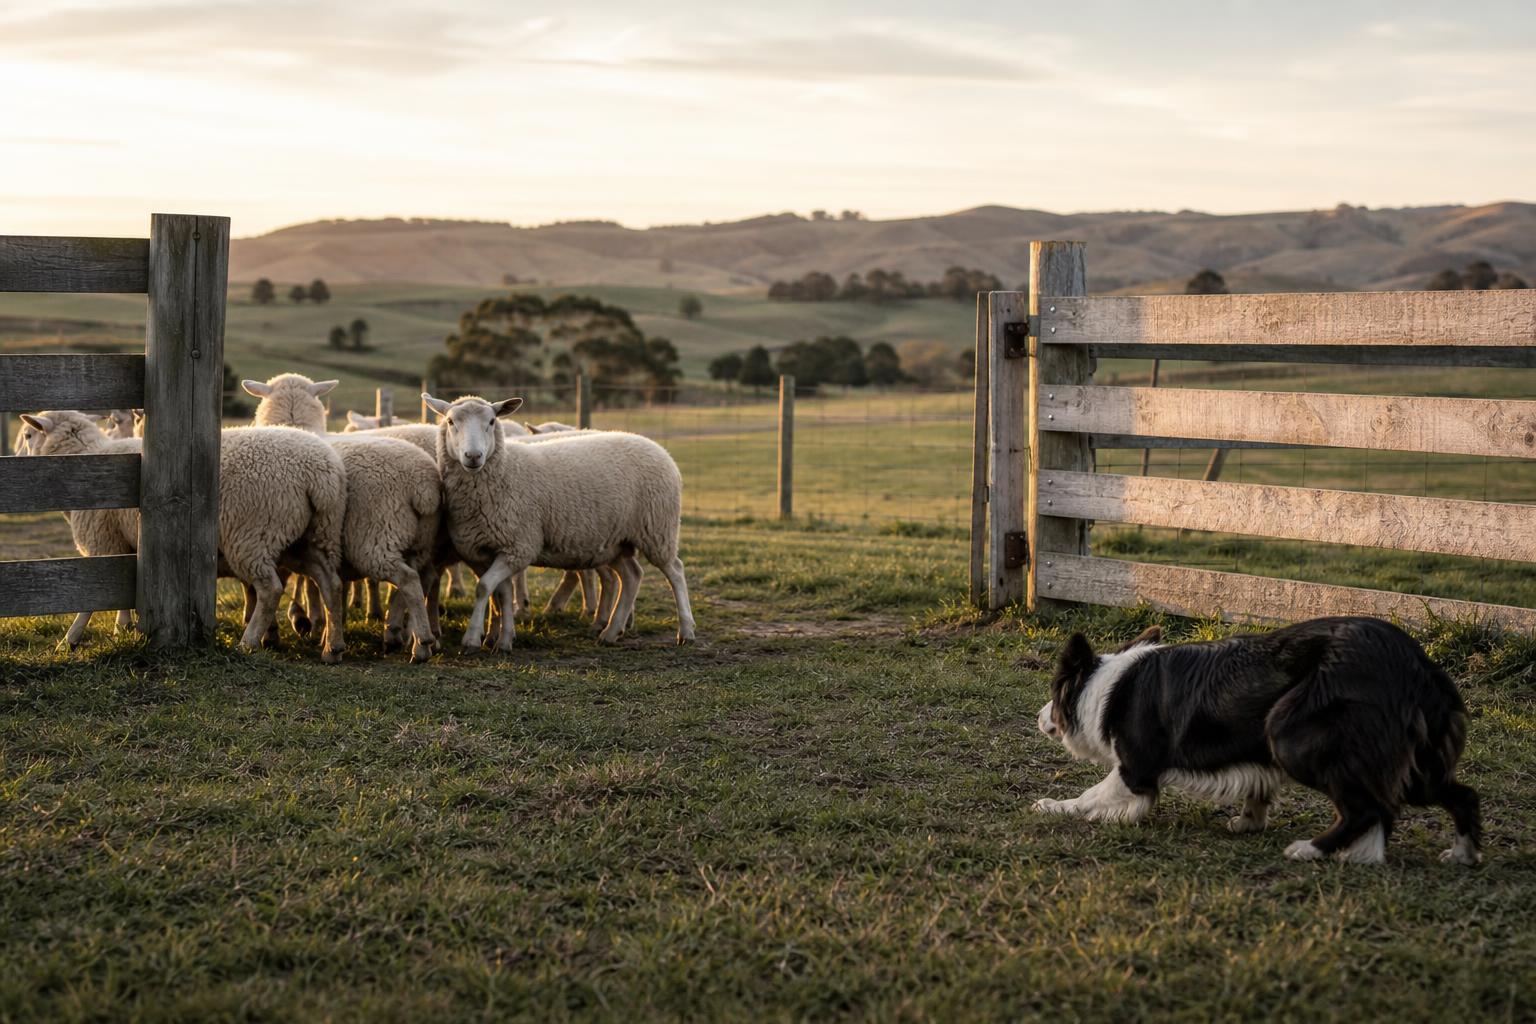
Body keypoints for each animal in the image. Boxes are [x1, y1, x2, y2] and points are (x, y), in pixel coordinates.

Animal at [18, 411, 348, 659]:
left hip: (253, 533)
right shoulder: (121, 544)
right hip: (311, 536)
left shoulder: (102, 541)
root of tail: (320, 474)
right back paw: (332, 647)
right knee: (330, 583)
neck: (86, 458)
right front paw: (121, 628)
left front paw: (70, 639)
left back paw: (249, 641)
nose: (18, 454)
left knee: (270, 589)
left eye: (28, 435)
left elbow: (92, 597)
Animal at [242, 374, 442, 661]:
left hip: (377, 534)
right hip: (421, 540)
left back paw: (413, 638)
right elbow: (316, 583)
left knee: (407, 580)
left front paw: (300, 624)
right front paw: (318, 622)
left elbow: (298, 583)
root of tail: (422, 486)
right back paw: (414, 638)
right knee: (421, 581)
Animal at [423, 393, 695, 651]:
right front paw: (500, 638)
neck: (505, 469)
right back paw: (610, 632)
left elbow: (484, 588)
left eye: (491, 421)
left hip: (658, 530)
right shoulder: (487, 550)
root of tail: (657, 448)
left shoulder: (519, 547)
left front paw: (473, 638)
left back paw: (686, 631)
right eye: (451, 421)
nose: (473, 456)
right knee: (632, 576)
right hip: (617, 541)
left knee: (675, 572)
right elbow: (498, 592)